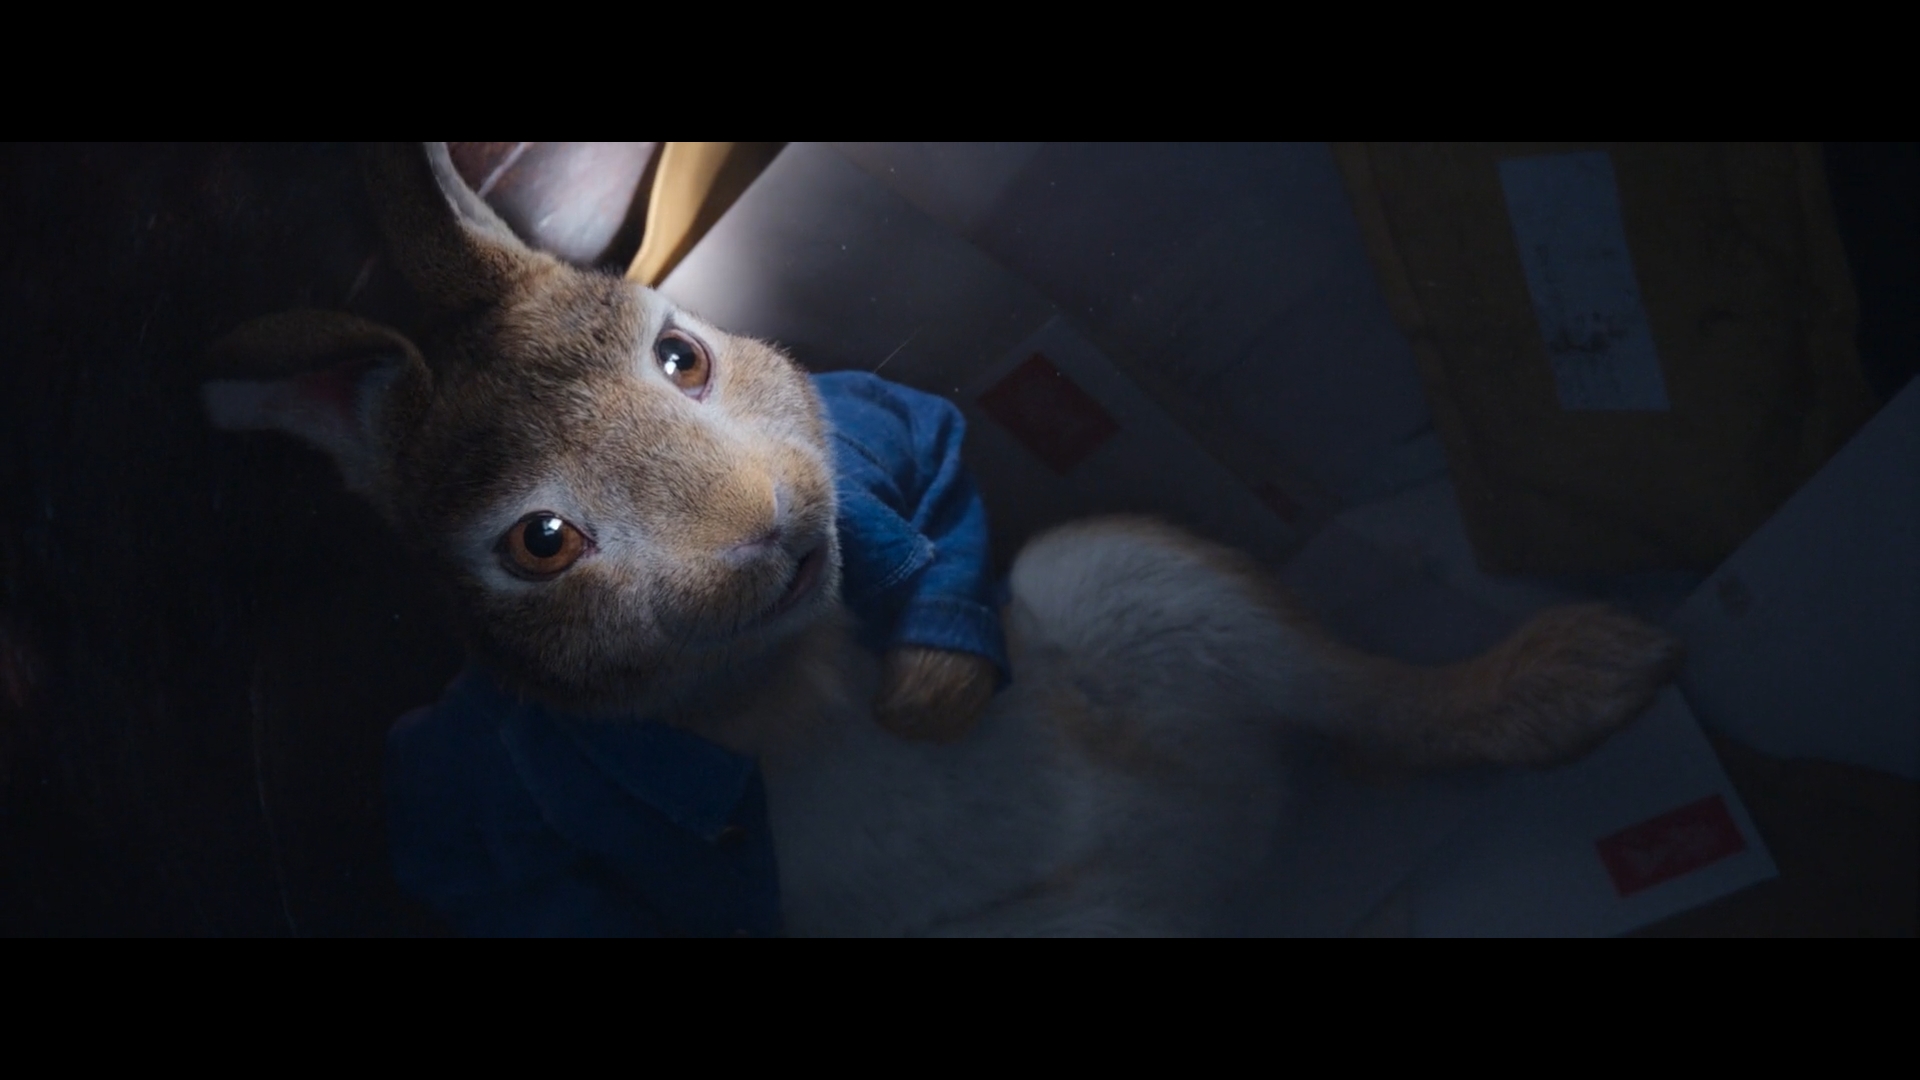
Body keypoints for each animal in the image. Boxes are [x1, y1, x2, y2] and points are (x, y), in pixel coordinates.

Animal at [200, 143, 1685, 936]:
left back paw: (1581, 674)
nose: (779, 531)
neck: (772, 676)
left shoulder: (886, 447)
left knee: (1375, 698)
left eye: (681, 355)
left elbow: (935, 464)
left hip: (1134, 580)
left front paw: (929, 697)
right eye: (542, 543)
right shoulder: (469, 789)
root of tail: (1222, 844)